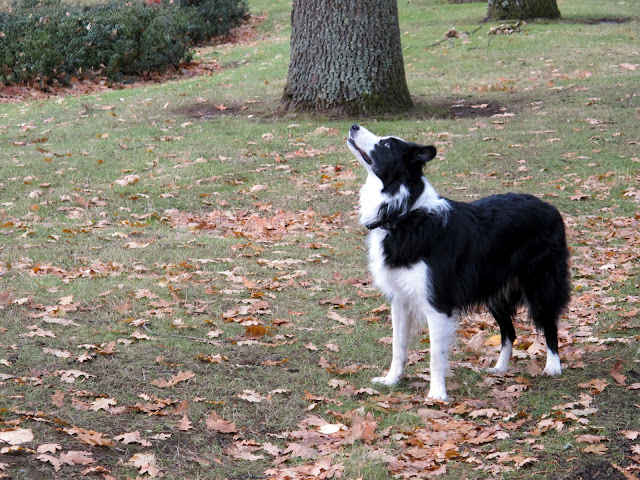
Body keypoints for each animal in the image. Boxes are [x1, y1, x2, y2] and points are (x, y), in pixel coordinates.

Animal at [347, 124, 570, 401]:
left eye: (387, 145)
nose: (354, 126)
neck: (404, 214)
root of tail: (550, 207)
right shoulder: (400, 299)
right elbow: (397, 346)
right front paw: (391, 380)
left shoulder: (437, 303)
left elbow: (435, 355)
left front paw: (437, 394)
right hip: (495, 291)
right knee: (509, 331)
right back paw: (500, 368)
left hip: (540, 283)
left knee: (549, 323)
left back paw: (553, 366)